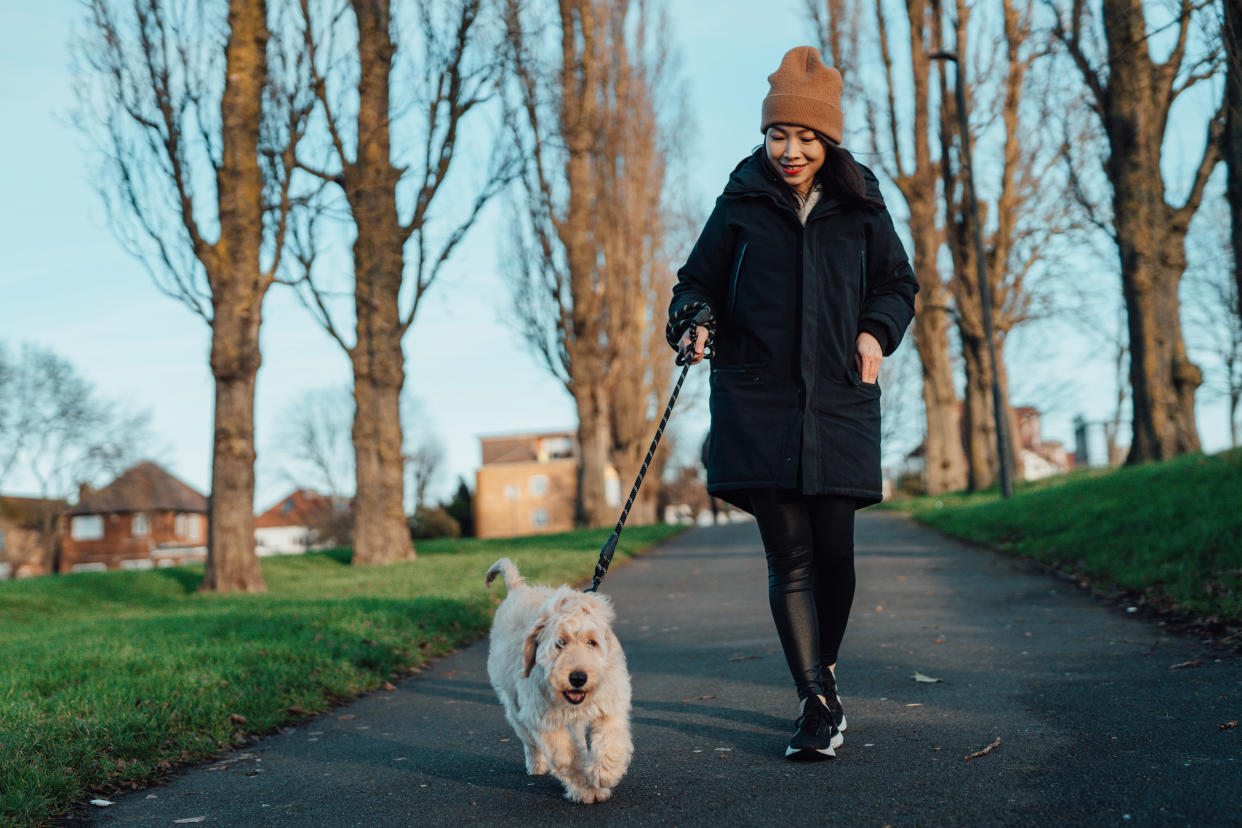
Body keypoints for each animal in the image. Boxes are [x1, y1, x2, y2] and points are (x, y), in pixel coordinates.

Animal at [484, 556, 630, 804]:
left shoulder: (609, 703)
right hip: (515, 705)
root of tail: (518, 589)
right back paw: (536, 764)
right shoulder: (544, 718)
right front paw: (586, 789)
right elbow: (566, 756)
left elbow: (611, 738)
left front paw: (604, 773)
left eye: (592, 642)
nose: (578, 678)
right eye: (560, 643)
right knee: (529, 741)